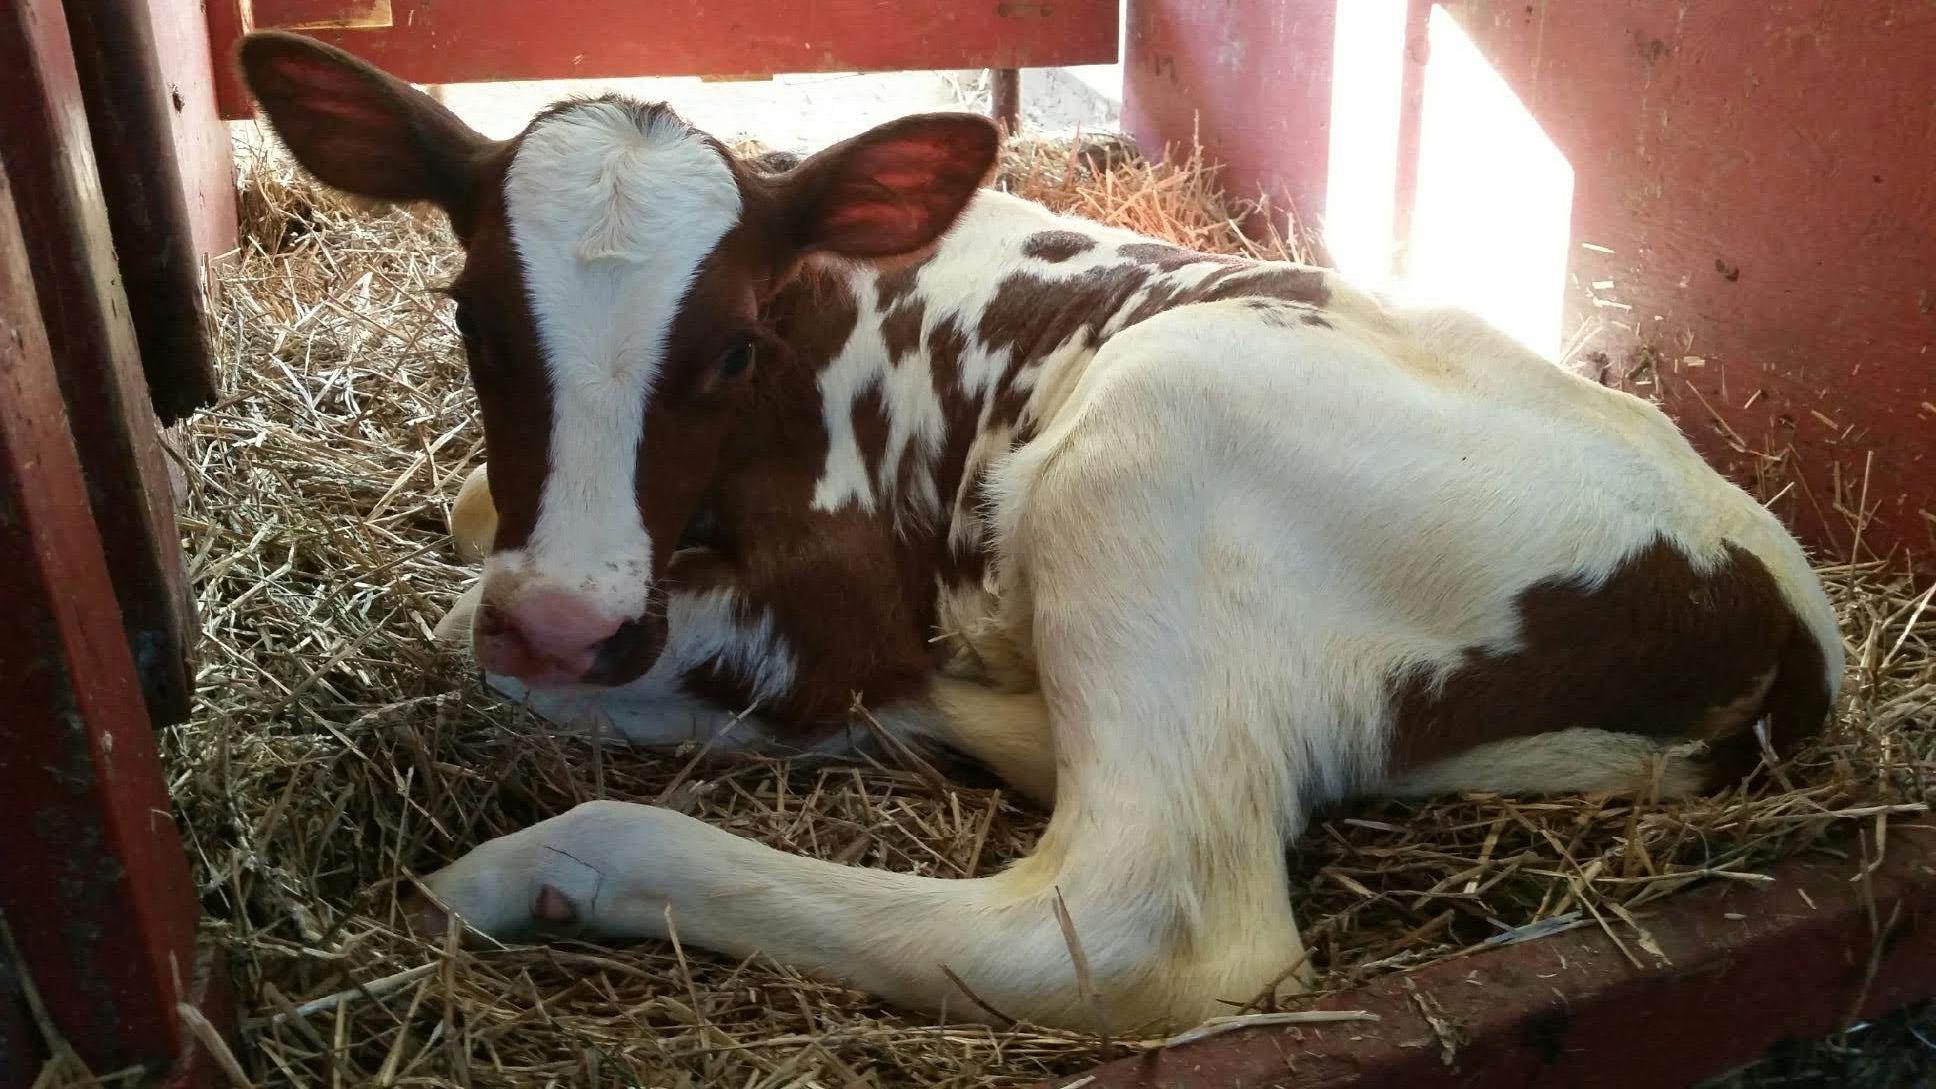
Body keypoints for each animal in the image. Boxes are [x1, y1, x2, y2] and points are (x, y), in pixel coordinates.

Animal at [239, 31, 1842, 1033]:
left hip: (1155, 441)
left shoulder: (837, 590)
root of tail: (1782, 616)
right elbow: (473, 544)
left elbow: (477, 635)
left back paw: (533, 865)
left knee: (1125, 927)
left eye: (735, 346)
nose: (568, 617)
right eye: (472, 317)